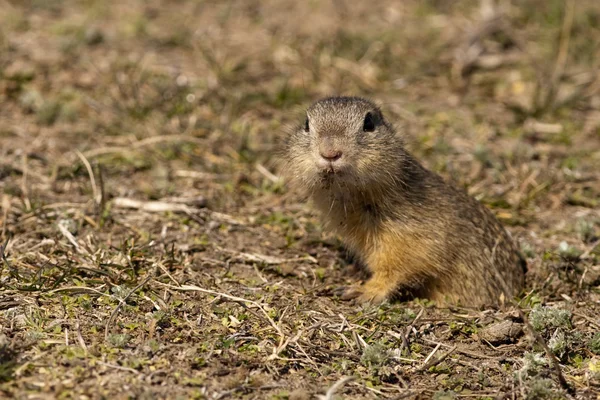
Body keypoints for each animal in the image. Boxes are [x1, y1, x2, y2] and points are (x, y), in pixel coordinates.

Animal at [282, 96, 524, 306]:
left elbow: (397, 268)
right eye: (306, 124)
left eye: (369, 123)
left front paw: (362, 291)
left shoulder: (413, 238)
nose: (330, 153)